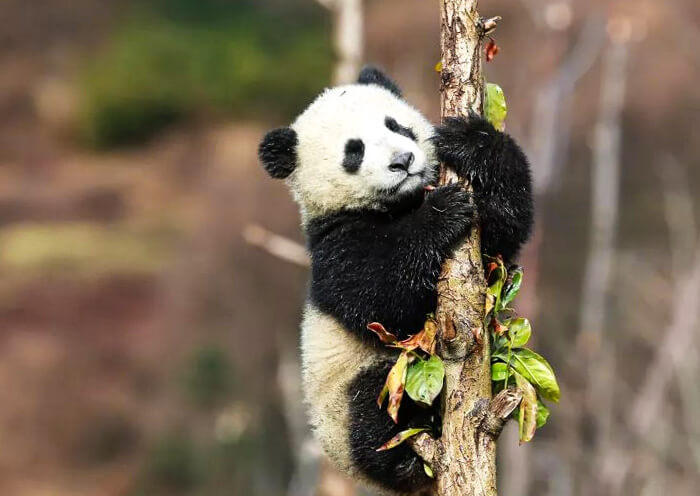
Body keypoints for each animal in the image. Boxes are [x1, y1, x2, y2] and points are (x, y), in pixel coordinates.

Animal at [258, 67, 533, 495]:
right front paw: (440, 212)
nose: (403, 160)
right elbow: (380, 295)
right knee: (373, 409)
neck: (398, 204)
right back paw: (404, 460)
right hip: (350, 399)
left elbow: (503, 230)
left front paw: (471, 142)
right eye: (354, 151)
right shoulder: (335, 246)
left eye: (396, 126)